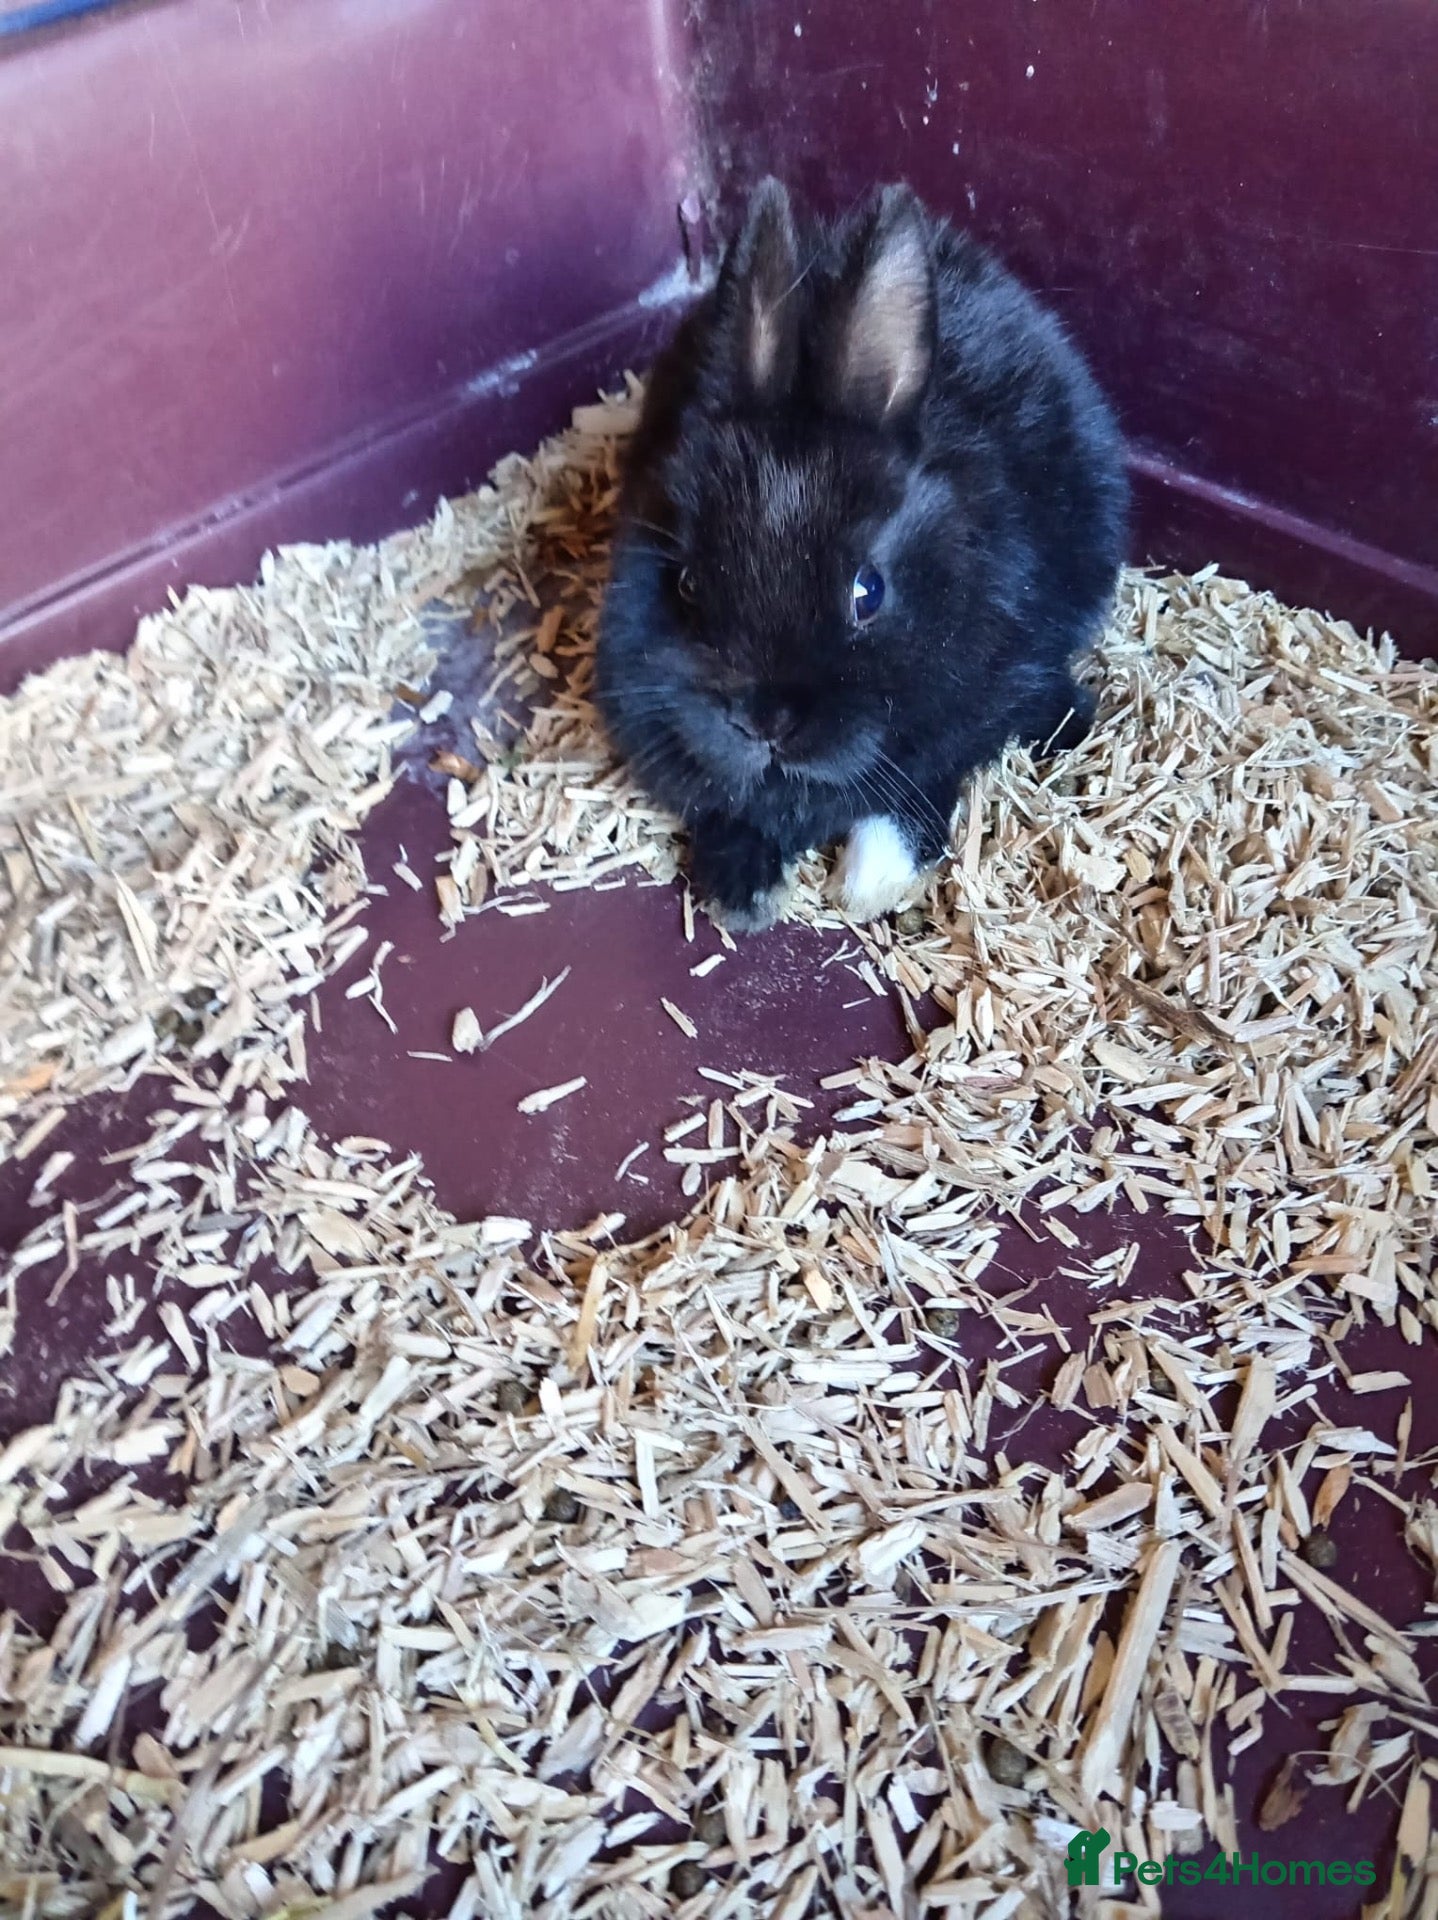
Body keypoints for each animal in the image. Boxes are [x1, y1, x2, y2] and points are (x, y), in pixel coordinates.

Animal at [595, 177, 1127, 930]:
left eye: (867, 592)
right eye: (688, 583)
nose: (763, 722)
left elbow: (918, 788)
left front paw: (869, 881)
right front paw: (743, 893)